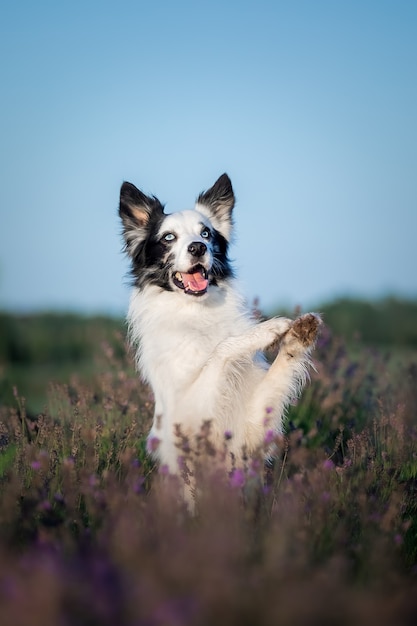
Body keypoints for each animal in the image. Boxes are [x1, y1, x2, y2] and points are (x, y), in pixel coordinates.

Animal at [118, 176, 320, 482]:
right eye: (168, 237)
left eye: (206, 234)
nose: (198, 248)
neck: (198, 313)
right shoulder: (190, 413)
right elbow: (220, 350)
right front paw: (269, 328)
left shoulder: (251, 428)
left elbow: (277, 371)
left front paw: (299, 333)